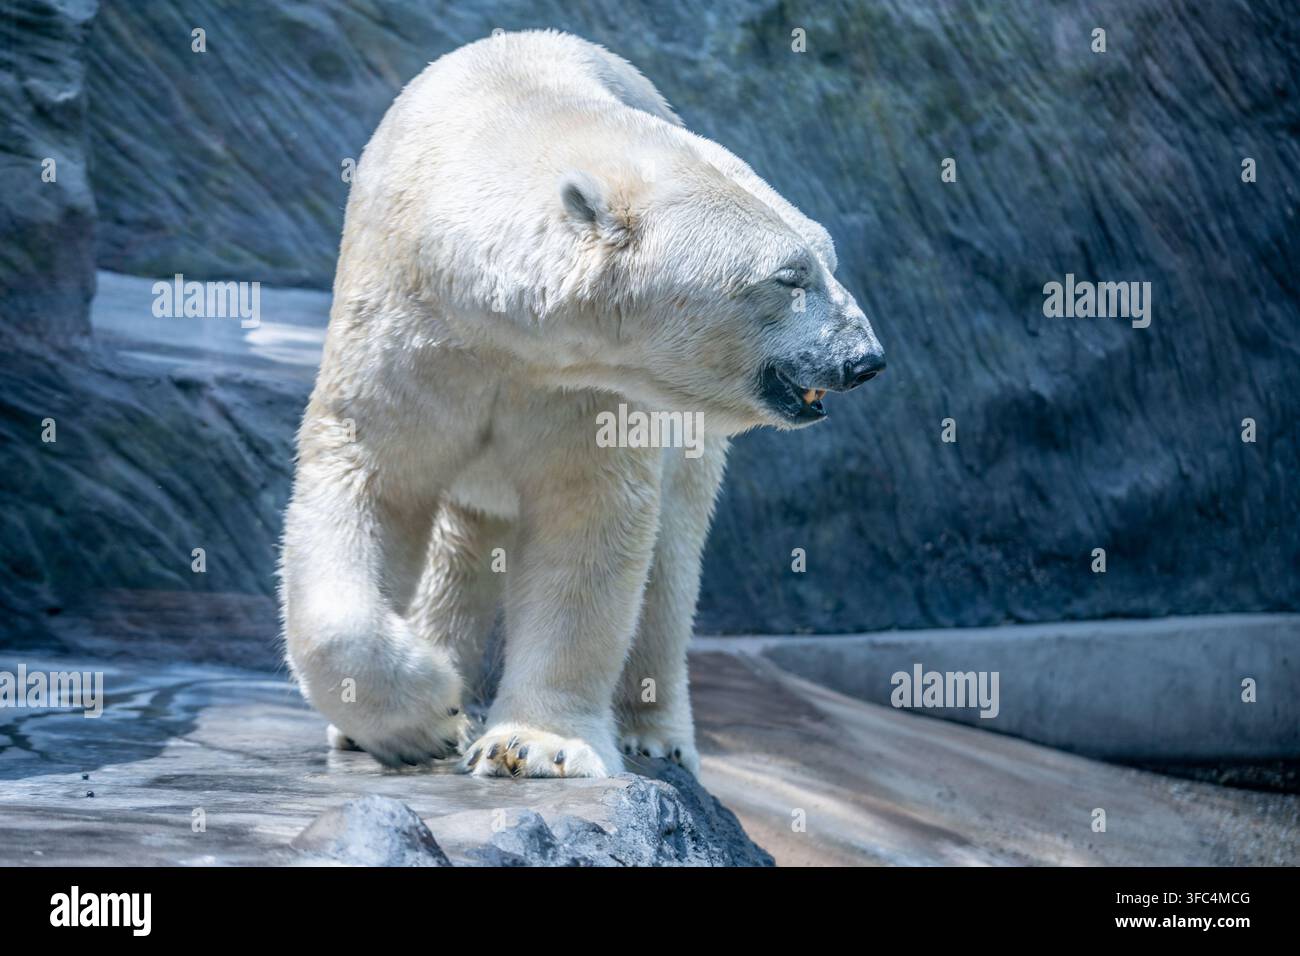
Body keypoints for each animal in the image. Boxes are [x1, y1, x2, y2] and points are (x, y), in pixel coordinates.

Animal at [280, 30, 884, 778]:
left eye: (827, 259)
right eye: (790, 276)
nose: (865, 358)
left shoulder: (593, 384)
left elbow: (589, 517)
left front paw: (532, 745)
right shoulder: (408, 334)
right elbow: (370, 482)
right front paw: (423, 713)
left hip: (692, 438)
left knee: (670, 562)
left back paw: (654, 732)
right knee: (462, 541)